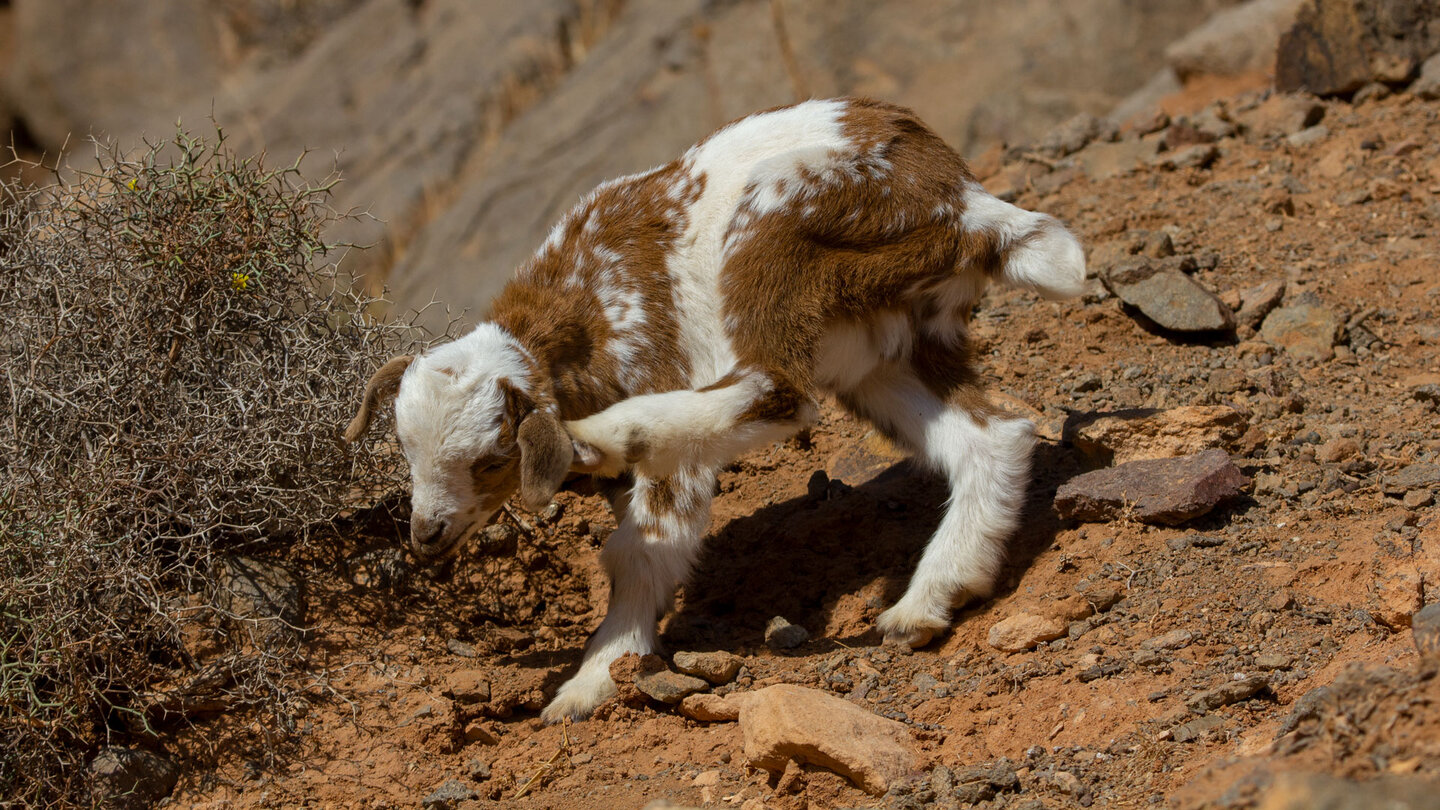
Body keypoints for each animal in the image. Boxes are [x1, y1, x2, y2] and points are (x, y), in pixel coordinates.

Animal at [345, 98, 1082, 714]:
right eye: (403, 448)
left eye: (492, 459)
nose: (427, 533)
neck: (582, 313)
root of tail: (966, 205)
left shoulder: (661, 379)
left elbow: (640, 549)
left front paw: (589, 683)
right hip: (880, 348)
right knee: (993, 435)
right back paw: (931, 599)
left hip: (784, 223)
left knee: (779, 393)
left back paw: (604, 435)